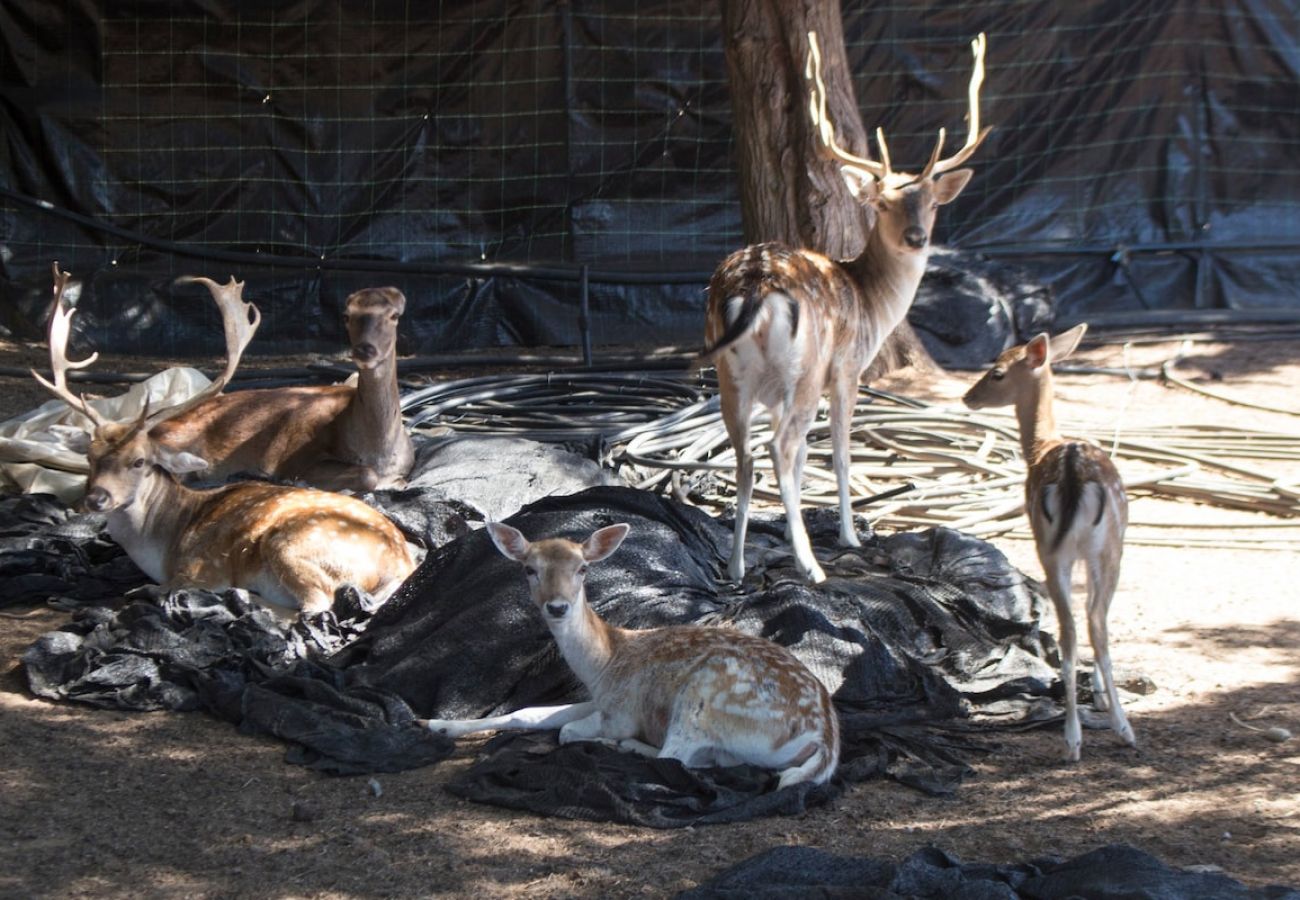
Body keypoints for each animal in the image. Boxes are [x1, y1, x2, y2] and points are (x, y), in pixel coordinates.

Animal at [150, 280, 418, 491]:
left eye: (394, 315)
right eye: (346, 315)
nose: (364, 349)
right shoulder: (297, 461)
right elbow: (366, 475)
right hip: (177, 441)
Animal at [421, 520, 837, 785]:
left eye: (583, 568)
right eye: (529, 569)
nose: (557, 607)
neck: (605, 663)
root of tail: (824, 739)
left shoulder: (620, 710)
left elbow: (567, 730)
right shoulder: (601, 698)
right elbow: (529, 714)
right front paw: (435, 724)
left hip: (704, 697)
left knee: (675, 755)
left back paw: (623, 746)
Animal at [702, 33, 993, 582]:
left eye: (932, 203)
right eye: (881, 203)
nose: (917, 237)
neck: (871, 299)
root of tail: (753, 289)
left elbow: (797, 461)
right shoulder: (849, 368)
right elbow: (838, 453)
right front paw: (849, 535)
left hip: (731, 374)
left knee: (747, 455)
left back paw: (736, 566)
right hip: (805, 370)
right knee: (779, 447)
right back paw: (812, 567)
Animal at [967, 323, 1138, 759]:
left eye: (996, 373)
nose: (967, 396)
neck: (1041, 445)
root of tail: (1074, 476)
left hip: (1061, 548)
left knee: (1077, 626)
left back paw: (1083, 733)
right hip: (1099, 549)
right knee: (1088, 623)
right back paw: (1108, 731)